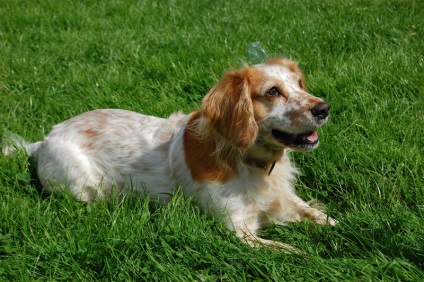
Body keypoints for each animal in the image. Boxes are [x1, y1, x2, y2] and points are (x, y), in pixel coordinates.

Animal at [4, 57, 334, 251]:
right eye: (273, 92)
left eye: (299, 84)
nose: (324, 108)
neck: (246, 161)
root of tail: (44, 139)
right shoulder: (239, 231)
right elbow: (292, 252)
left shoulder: (286, 200)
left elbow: (322, 217)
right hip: (81, 184)